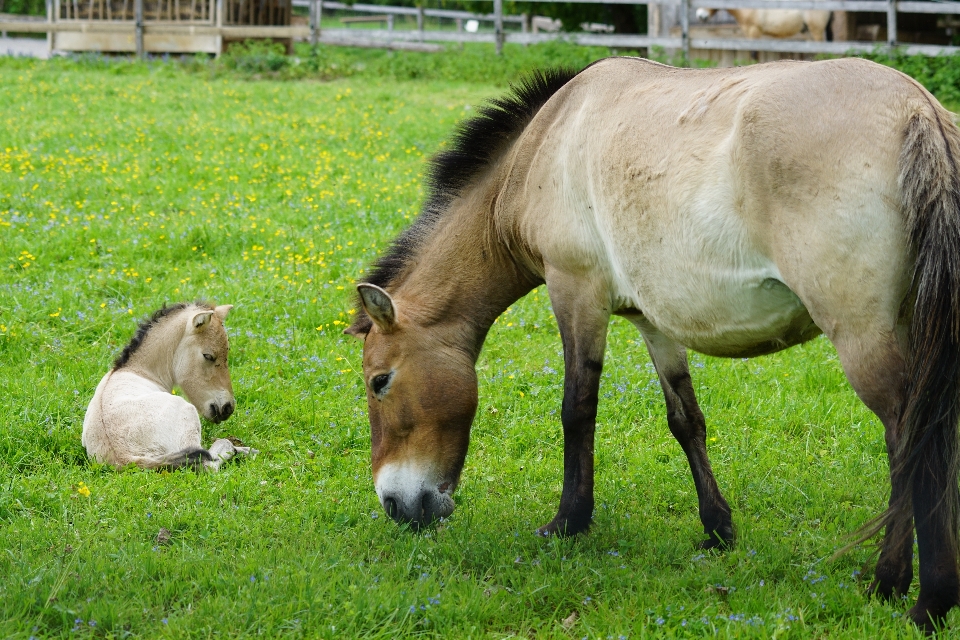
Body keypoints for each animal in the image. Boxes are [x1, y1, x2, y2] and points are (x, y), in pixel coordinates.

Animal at [83, 302, 255, 472]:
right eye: (208, 356)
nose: (227, 408)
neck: (139, 371)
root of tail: (124, 458)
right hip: (188, 415)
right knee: (207, 463)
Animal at [348, 58, 960, 632]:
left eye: (380, 382)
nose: (395, 505)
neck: (547, 142)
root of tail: (917, 108)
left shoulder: (576, 294)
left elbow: (577, 409)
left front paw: (568, 523)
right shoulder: (652, 321)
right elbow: (685, 419)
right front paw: (717, 528)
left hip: (863, 337)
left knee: (910, 443)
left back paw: (913, 594)